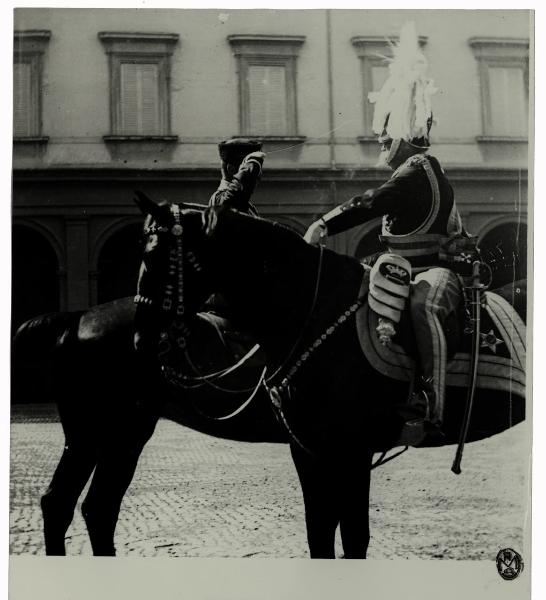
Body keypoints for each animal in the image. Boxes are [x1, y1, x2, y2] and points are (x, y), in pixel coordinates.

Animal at [11, 198, 524, 556]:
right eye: (141, 253)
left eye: (163, 258)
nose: (144, 340)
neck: (315, 313)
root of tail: (77, 318)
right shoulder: (332, 450)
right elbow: (336, 536)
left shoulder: (334, 451)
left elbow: (333, 536)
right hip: (104, 431)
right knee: (73, 505)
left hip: (118, 432)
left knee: (86, 507)